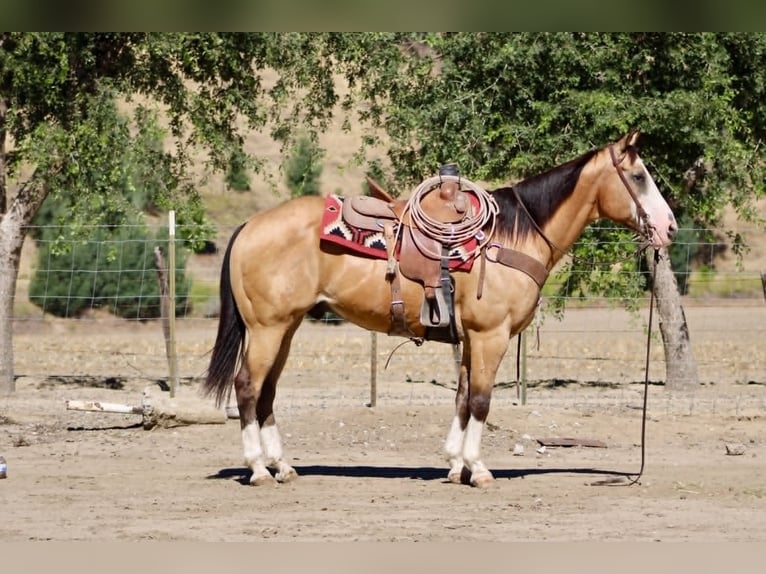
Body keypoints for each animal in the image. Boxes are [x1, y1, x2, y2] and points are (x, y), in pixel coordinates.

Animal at [203, 130, 677, 488]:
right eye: (638, 176)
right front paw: (478, 470)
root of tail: (250, 226)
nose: (669, 226)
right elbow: (481, 400)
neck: (510, 237)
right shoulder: (490, 335)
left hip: (286, 328)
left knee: (267, 392)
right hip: (267, 328)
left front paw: (454, 464)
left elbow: (463, 397)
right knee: (247, 387)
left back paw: (282, 466)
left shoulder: (470, 338)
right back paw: (258, 469)